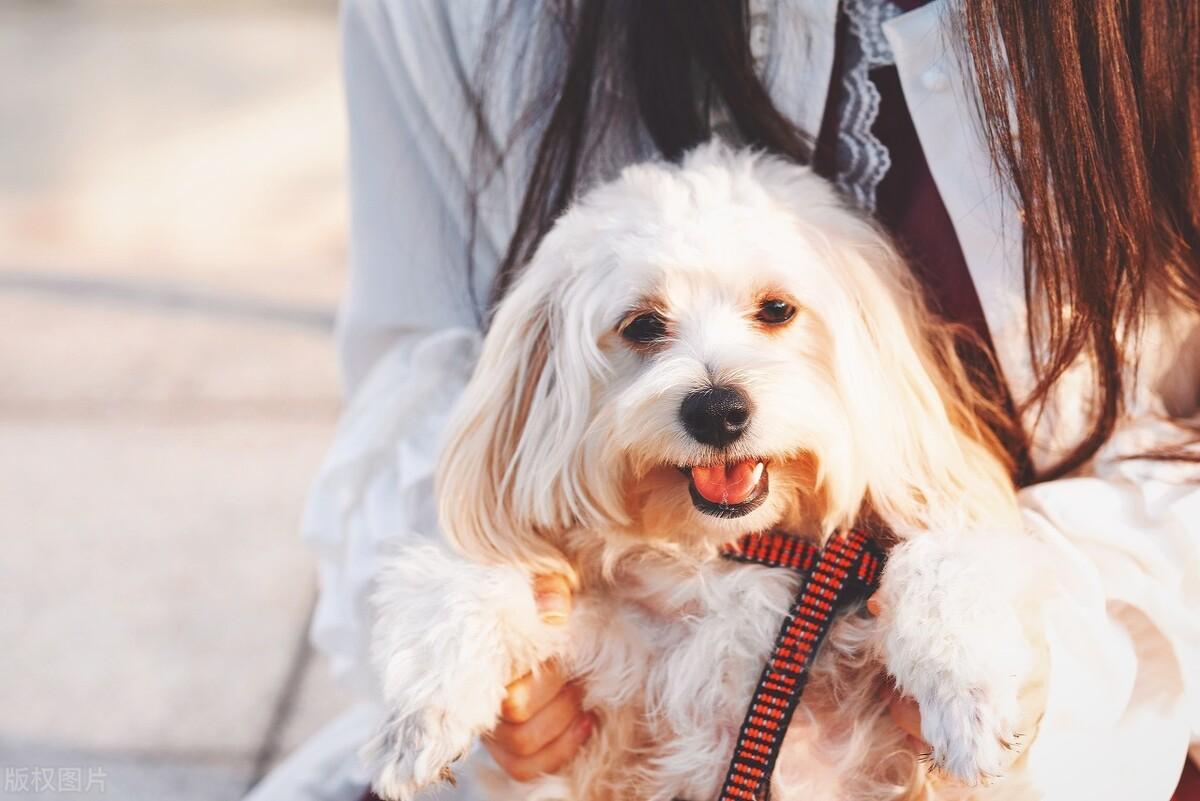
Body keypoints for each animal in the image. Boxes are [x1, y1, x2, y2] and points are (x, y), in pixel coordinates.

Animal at [364, 145, 1051, 801]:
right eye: (642, 324)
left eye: (776, 309)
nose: (718, 411)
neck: (726, 556)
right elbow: (469, 568)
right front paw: (421, 712)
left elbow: (948, 558)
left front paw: (970, 688)